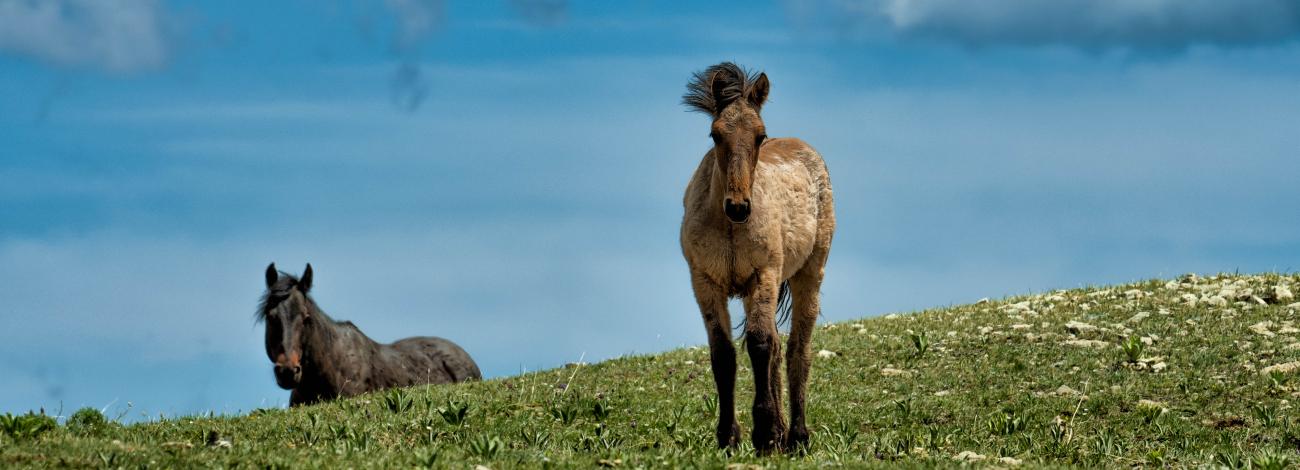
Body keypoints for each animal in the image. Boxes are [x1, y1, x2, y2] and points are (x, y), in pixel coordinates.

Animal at [679, 62, 835, 454]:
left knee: (797, 348)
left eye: (760, 136)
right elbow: (723, 353)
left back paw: (796, 436)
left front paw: (764, 433)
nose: (738, 206)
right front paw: (728, 436)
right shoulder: (704, 282)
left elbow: (760, 344)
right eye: (715, 134)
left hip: (808, 274)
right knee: (780, 347)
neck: (729, 227)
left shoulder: (763, 274)